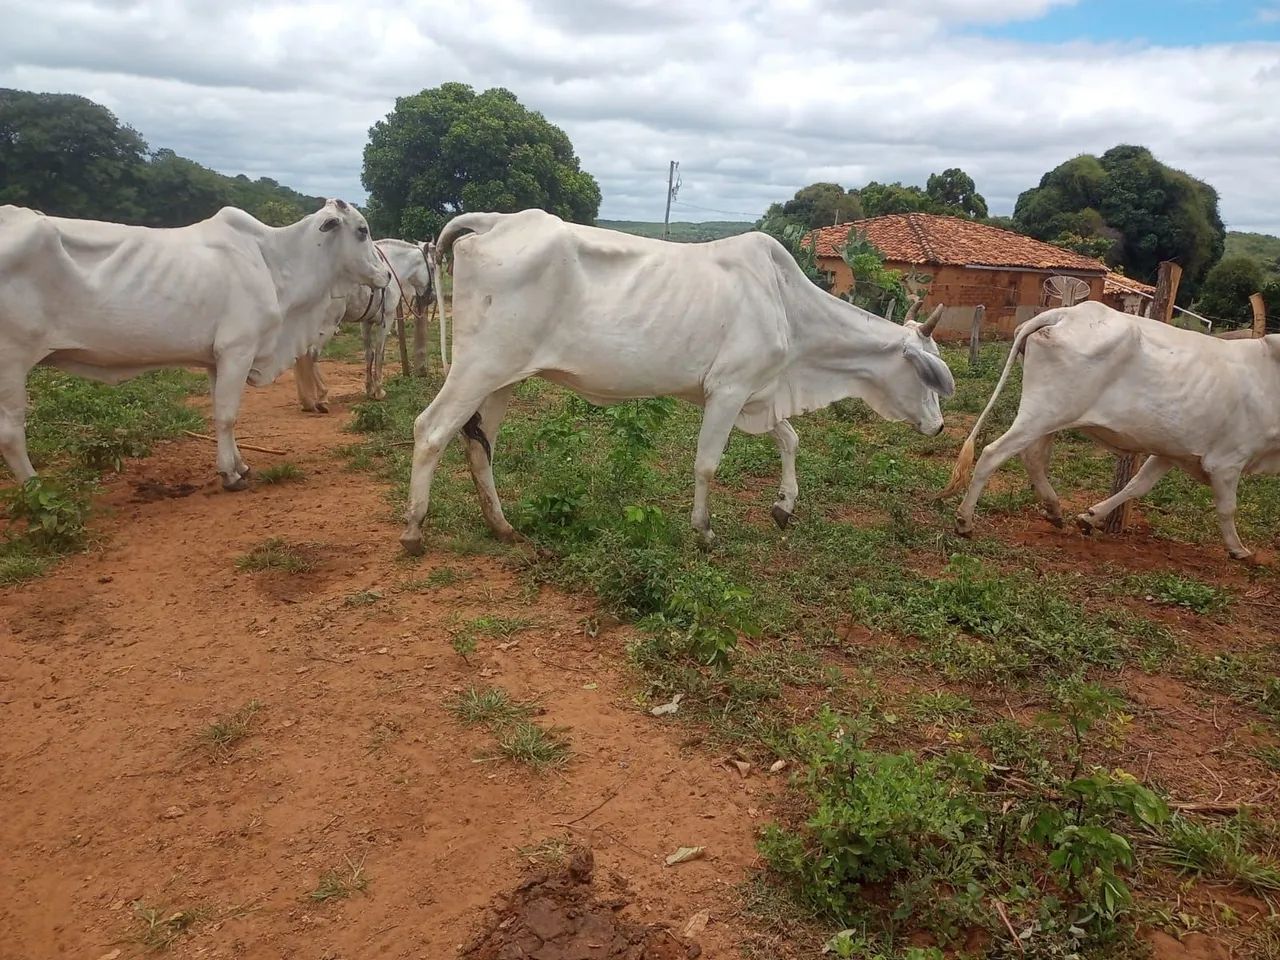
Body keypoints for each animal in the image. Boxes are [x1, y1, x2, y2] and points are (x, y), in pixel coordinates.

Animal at [0, 200, 390, 489]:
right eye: (362, 230)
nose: (386, 274)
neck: (273, 262)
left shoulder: (216, 361)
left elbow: (223, 415)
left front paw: (239, 465)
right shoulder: (237, 350)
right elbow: (227, 415)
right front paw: (231, 475)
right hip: (11, 364)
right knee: (11, 434)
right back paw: (35, 492)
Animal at [293, 238, 438, 413]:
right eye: (432, 267)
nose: (432, 297)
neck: (391, 266)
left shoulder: (366, 322)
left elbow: (369, 354)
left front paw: (369, 389)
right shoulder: (386, 320)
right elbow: (380, 354)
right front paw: (379, 391)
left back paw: (307, 401)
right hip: (327, 325)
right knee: (313, 354)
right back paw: (322, 397)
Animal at [398, 209, 956, 557]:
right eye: (926, 374)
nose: (939, 426)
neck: (788, 308)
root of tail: (496, 221)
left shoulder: (758, 394)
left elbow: (791, 439)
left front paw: (784, 506)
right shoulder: (728, 391)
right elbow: (707, 464)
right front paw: (704, 532)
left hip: (504, 377)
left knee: (478, 443)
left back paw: (501, 526)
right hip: (479, 367)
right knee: (431, 429)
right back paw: (414, 530)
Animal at [939, 301, 1280, 560]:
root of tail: (1068, 312)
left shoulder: (1171, 452)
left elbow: (1136, 486)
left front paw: (1090, 517)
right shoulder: (1227, 462)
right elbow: (1227, 508)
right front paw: (1238, 550)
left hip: (1051, 416)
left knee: (1032, 457)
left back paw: (1054, 509)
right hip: (1044, 413)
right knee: (992, 453)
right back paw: (965, 520)